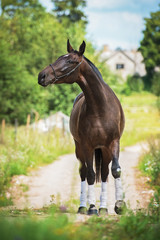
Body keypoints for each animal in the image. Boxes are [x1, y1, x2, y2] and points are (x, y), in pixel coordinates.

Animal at [38, 39, 125, 216]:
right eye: (59, 58)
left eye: (71, 61)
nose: (41, 76)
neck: (100, 107)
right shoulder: (86, 146)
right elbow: (90, 175)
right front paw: (92, 208)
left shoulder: (114, 142)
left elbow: (115, 170)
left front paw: (119, 205)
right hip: (79, 148)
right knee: (83, 172)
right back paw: (83, 206)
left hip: (104, 150)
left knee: (104, 173)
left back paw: (103, 208)